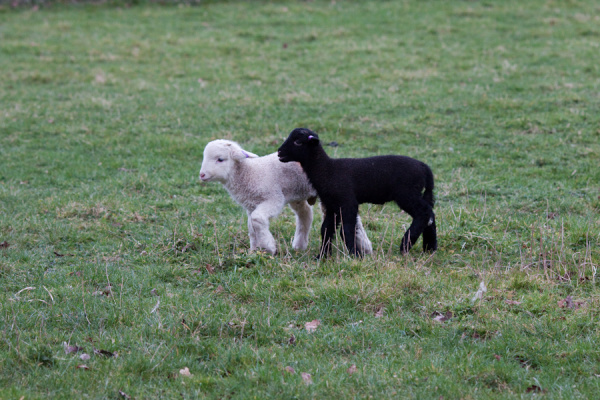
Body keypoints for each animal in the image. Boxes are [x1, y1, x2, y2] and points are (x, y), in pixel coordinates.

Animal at [199, 139, 372, 255]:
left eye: (220, 159)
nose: (202, 175)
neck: (249, 172)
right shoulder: (251, 205)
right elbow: (251, 227)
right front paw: (254, 250)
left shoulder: (274, 198)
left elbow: (256, 220)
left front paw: (269, 246)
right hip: (297, 194)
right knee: (305, 214)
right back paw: (299, 245)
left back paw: (365, 246)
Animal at [276, 128, 436, 260]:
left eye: (298, 142)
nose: (279, 153)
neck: (327, 170)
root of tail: (424, 167)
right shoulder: (332, 205)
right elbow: (326, 229)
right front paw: (322, 256)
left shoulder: (347, 202)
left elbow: (346, 230)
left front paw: (355, 255)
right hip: (415, 193)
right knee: (430, 214)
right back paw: (430, 248)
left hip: (406, 193)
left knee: (423, 213)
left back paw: (405, 244)